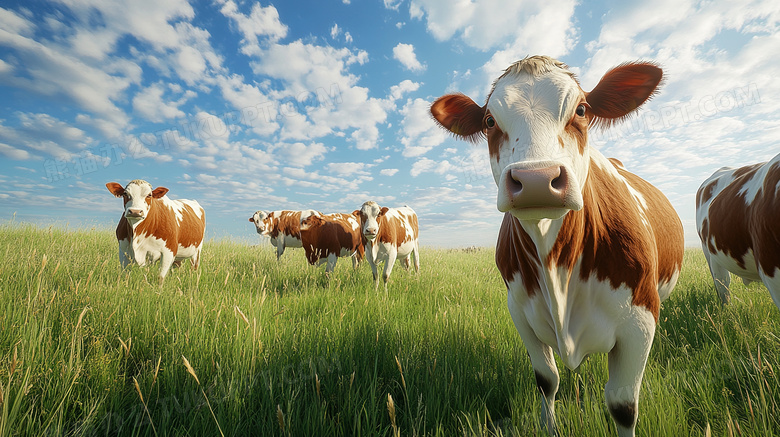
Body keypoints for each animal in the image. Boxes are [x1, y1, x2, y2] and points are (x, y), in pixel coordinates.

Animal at [432, 55, 684, 436]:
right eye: (490, 121)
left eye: (581, 110)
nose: (536, 179)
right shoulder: (519, 312)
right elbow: (546, 379)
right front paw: (549, 426)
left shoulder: (640, 319)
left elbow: (623, 404)